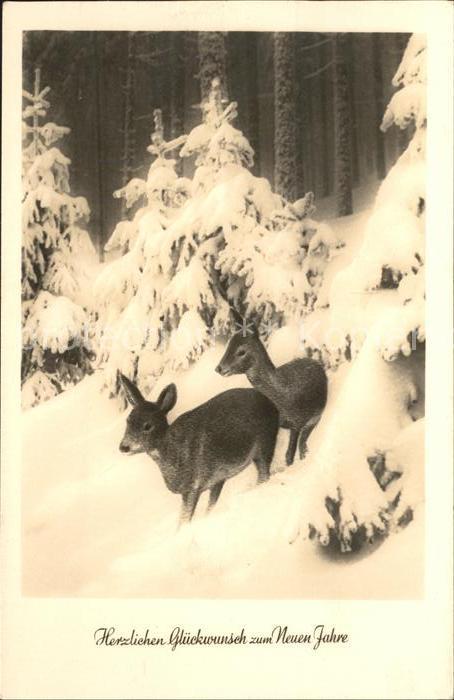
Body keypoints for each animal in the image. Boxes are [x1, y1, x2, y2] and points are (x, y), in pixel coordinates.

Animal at [118, 374, 279, 526]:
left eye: (147, 426)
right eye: (128, 421)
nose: (123, 447)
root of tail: (270, 403)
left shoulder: (193, 486)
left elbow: (184, 519)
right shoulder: (216, 479)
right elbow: (210, 506)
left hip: (265, 442)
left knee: (264, 474)